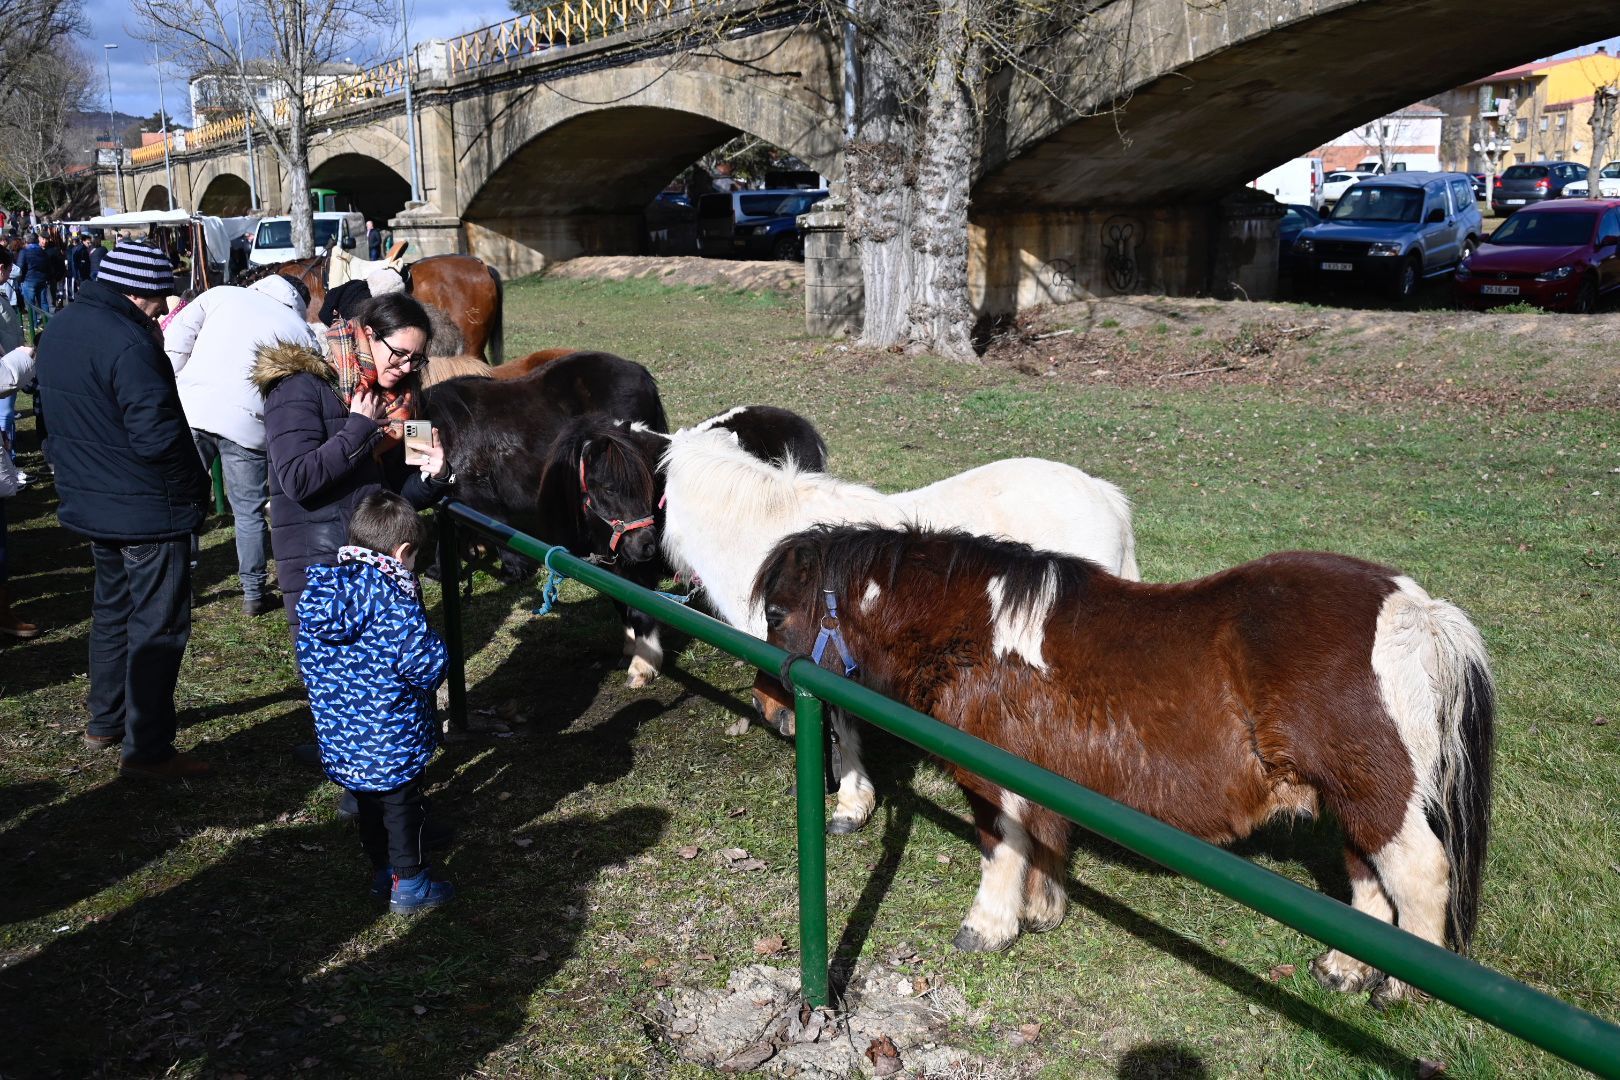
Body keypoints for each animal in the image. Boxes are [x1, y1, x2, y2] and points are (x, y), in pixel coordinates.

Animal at [751, 524, 1496, 1003]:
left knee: (1419, 875)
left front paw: (988, 928)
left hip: (1376, 794)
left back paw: (1398, 991)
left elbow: (1000, 850)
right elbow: (1045, 841)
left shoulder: (991, 779)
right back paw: (1344, 969)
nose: (767, 703)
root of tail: (1419, 613)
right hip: (1351, 798)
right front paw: (1042, 911)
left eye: (778, 613)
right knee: (1368, 877)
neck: (978, 634)